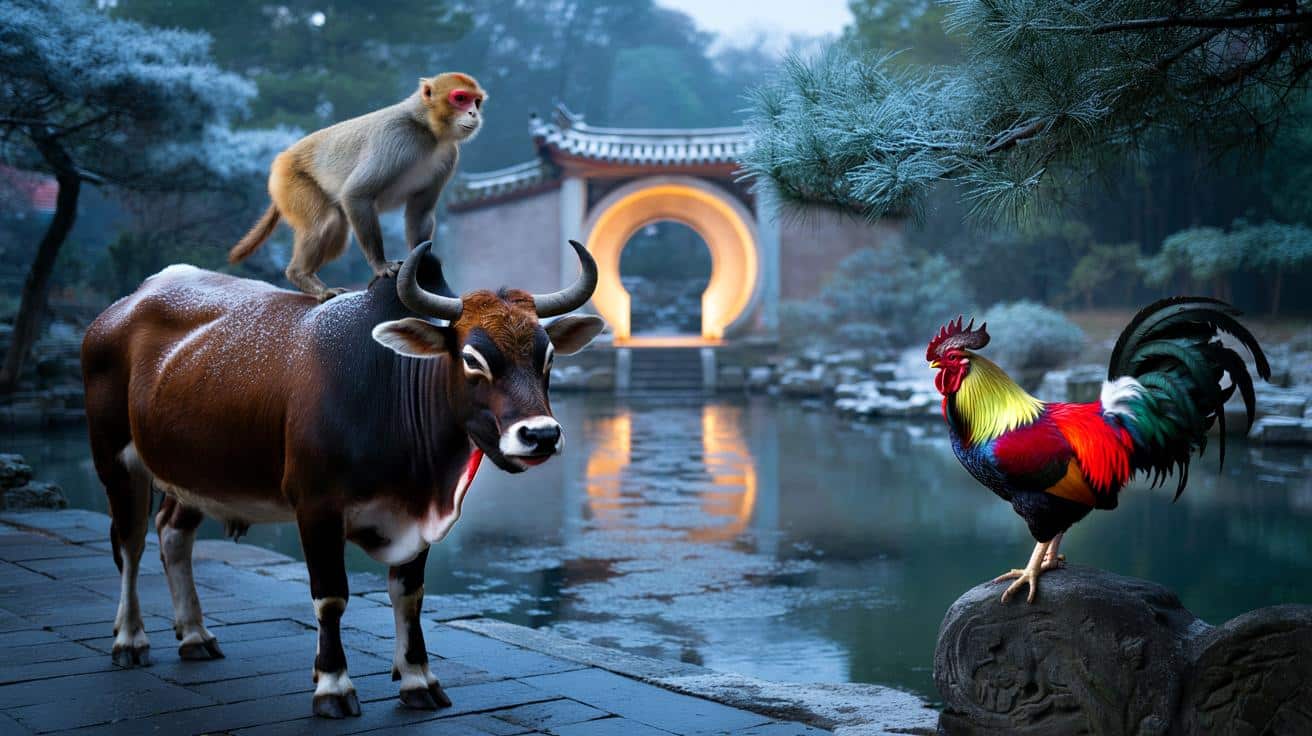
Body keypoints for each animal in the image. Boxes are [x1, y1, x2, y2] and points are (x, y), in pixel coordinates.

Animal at [229, 72, 486, 301]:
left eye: (476, 101)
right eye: (460, 98)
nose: (473, 113)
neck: (428, 130)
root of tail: (281, 159)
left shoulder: (448, 156)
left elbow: (420, 212)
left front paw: (423, 262)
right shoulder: (397, 138)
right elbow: (357, 193)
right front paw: (381, 266)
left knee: (337, 235)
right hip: (290, 182)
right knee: (327, 223)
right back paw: (302, 277)